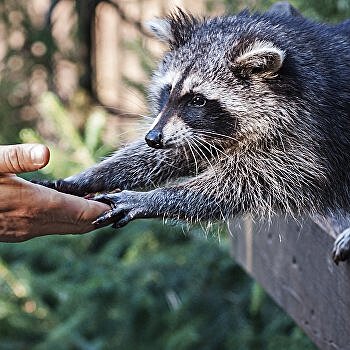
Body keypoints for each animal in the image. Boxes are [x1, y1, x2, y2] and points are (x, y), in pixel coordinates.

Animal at [33, 4, 350, 262]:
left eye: (198, 100)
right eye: (168, 90)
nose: (152, 138)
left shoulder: (308, 135)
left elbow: (254, 182)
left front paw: (153, 198)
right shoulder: (197, 130)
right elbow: (179, 151)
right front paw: (89, 176)